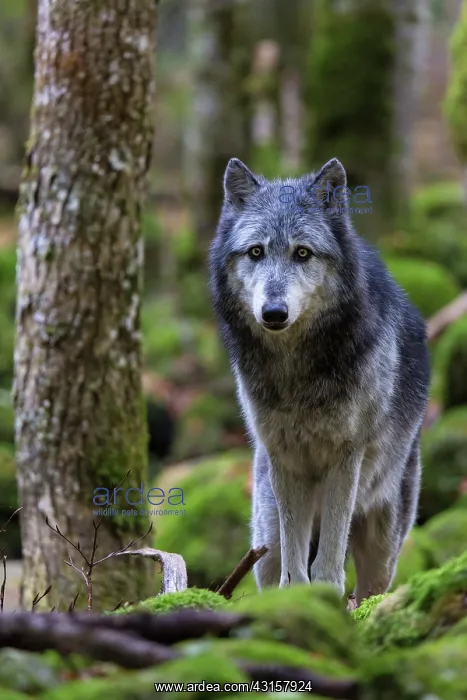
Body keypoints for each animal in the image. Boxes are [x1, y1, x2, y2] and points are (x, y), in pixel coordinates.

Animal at [209, 157, 430, 603]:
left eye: (302, 253)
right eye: (256, 252)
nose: (274, 312)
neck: (296, 372)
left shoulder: (346, 456)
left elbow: (328, 560)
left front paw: (324, 596)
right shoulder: (284, 458)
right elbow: (295, 560)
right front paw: (296, 597)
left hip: (383, 544)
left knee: (370, 589)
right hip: (265, 537)